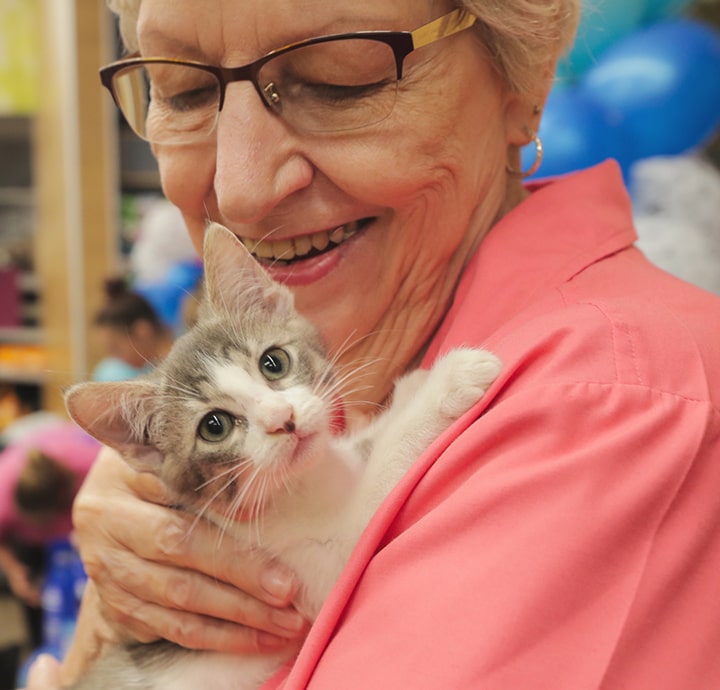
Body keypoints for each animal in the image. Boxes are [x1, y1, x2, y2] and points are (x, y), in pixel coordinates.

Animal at [64, 223, 500, 684]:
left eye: (273, 362)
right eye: (214, 426)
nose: (283, 419)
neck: (303, 483)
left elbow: (370, 446)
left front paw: (410, 389)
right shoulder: (319, 566)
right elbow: (382, 475)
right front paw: (451, 379)